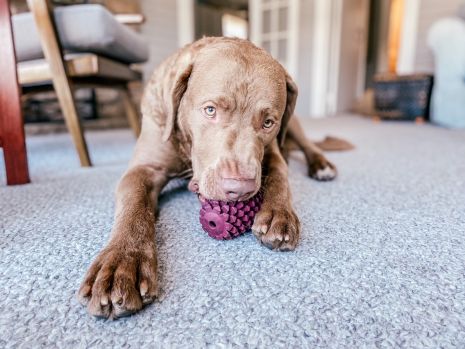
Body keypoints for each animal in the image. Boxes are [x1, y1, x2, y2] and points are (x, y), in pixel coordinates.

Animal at [76, 37, 338, 318]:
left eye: (268, 122)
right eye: (210, 110)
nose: (239, 187)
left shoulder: (272, 152)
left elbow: (280, 176)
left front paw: (279, 213)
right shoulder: (144, 168)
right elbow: (134, 206)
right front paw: (122, 262)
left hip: (294, 125)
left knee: (306, 145)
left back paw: (321, 165)